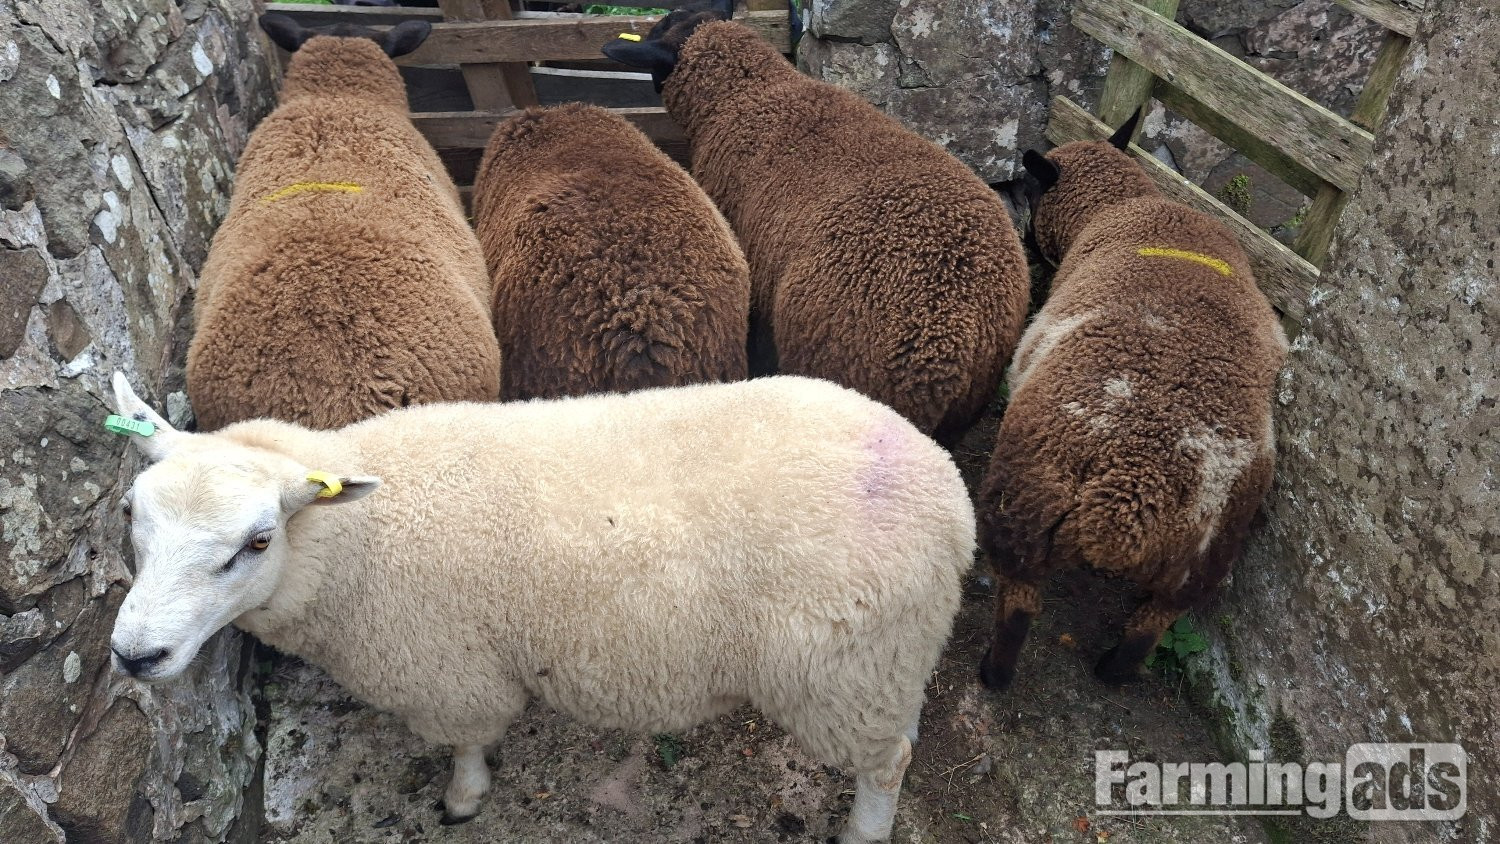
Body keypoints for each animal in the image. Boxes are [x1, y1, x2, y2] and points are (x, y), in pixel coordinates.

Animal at [105, 371, 973, 844]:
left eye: (255, 542)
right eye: (129, 514)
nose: (135, 654)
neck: (364, 536)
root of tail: (948, 491)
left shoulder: (445, 670)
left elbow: (466, 741)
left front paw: (464, 798)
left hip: (839, 673)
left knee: (886, 764)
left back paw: (864, 828)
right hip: (887, 658)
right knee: (899, 732)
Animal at [975, 112, 1288, 689]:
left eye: (1029, 185)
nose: (1025, 233)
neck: (1118, 204)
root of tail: (1128, 497)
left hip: (1022, 503)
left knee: (1020, 605)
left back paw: (995, 674)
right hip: (1204, 560)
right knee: (1152, 623)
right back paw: (1112, 670)